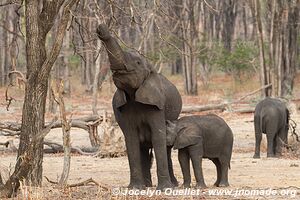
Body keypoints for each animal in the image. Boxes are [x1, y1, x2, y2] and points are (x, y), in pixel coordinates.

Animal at [96, 24, 183, 190]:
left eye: (137, 62)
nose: (101, 28)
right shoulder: (121, 108)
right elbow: (131, 139)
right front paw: (135, 189)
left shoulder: (158, 105)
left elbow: (158, 137)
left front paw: (164, 189)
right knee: (143, 147)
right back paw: (147, 185)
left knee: (166, 148)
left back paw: (173, 185)